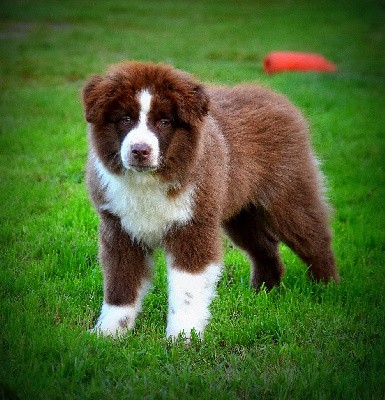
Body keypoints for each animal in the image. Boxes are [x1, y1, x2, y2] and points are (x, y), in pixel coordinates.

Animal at [82, 61, 336, 340]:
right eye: (125, 119)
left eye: (164, 122)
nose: (140, 150)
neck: (149, 182)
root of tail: (276, 97)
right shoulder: (119, 227)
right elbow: (120, 283)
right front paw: (108, 333)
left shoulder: (193, 225)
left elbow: (187, 288)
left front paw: (182, 337)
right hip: (241, 212)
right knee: (264, 246)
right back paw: (264, 293)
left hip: (288, 194)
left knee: (313, 237)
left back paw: (327, 289)